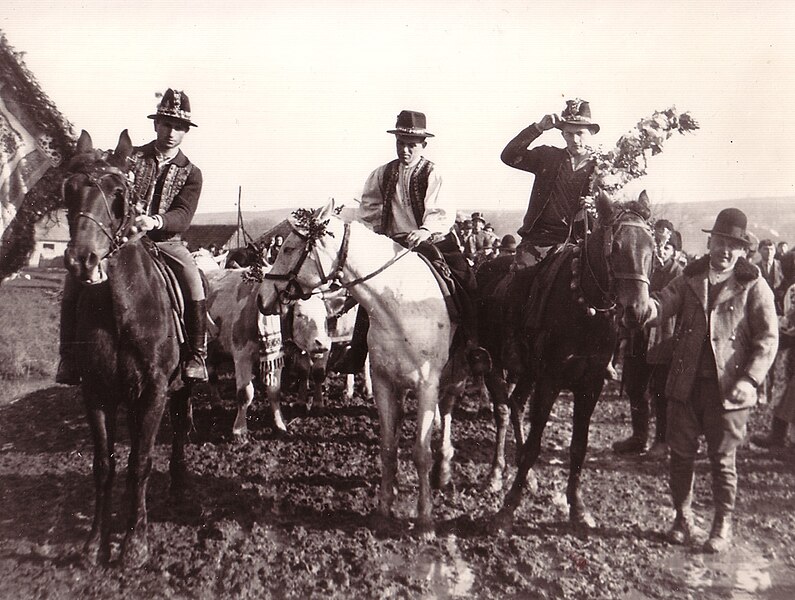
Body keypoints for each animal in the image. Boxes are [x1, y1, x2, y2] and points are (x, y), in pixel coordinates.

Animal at [61, 131, 192, 568]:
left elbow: (141, 464)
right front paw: (93, 544)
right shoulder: (96, 392)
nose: (82, 261)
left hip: (179, 388)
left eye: (119, 194)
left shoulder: (154, 391)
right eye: (69, 190)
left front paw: (135, 542)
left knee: (179, 431)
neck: (121, 309)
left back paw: (179, 483)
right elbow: (105, 466)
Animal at [258, 200, 470, 540]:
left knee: (448, 410)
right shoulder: (384, 383)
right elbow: (388, 447)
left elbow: (420, 452)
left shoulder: (426, 384)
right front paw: (383, 511)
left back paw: (445, 467)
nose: (263, 298)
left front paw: (425, 521)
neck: (399, 304)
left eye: (289, 248)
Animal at [476, 192, 656, 528]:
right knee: (503, 410)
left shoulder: (590, 386)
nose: (638, 311)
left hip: (527, 373)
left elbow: (578, 447)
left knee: (516, 405)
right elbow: (534, 446)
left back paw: (528, 478)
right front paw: (508, 509)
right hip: (493, 363)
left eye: (652, 248)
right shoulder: (550, 382)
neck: (584, 308)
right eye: (616, 248)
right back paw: (495, 473)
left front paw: (578, 508)